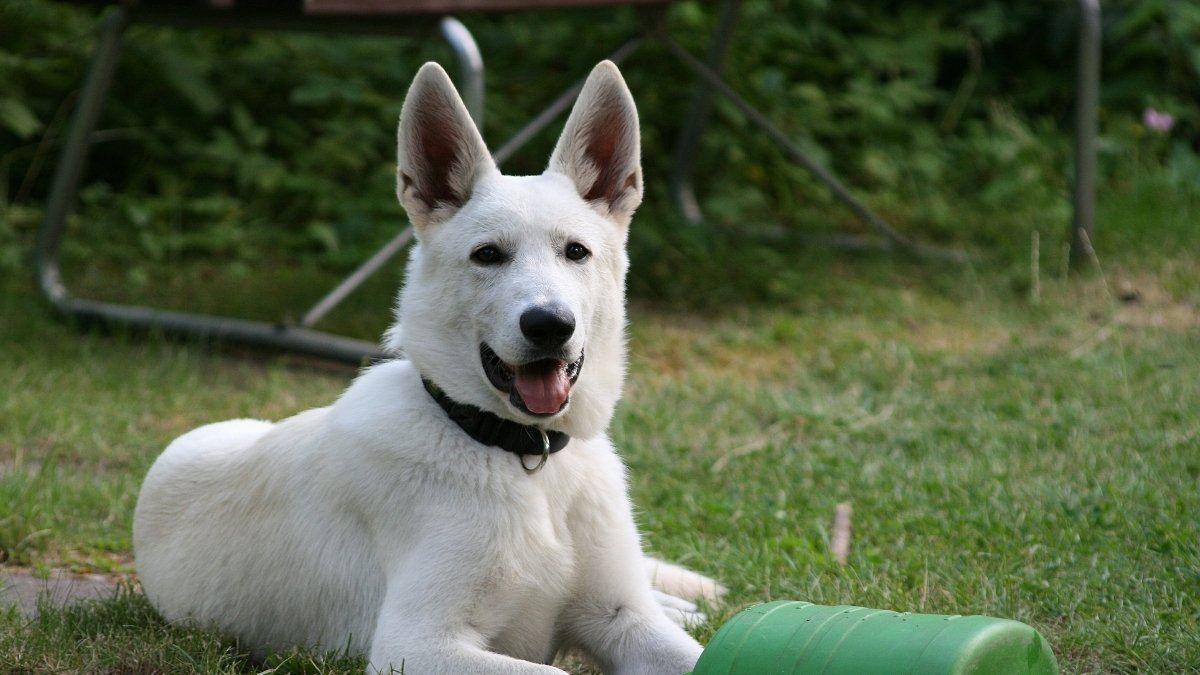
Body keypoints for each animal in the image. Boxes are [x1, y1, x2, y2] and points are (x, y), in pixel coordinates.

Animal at [137, 60, 724, 667]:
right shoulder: (415, 643)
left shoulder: (625, 618)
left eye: (576, 252)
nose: (549, 326)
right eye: (487, 255)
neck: (523, 457)